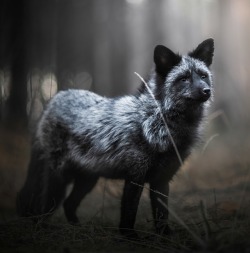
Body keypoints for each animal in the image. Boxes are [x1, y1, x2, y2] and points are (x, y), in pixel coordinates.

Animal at [16, 38, 214, 238]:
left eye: (203, 76)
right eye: (184, 79)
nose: (207, 91)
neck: (157, 120)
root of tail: (53, 101)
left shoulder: (162, 179)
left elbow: (161, 215)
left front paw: (165, 236)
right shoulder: (135, 176)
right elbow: (129, 212)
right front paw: (129, 237)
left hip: (88, 179)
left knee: (68, 204)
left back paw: (79, 228)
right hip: (58, 179)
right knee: (44, 208)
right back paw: (42, 228)